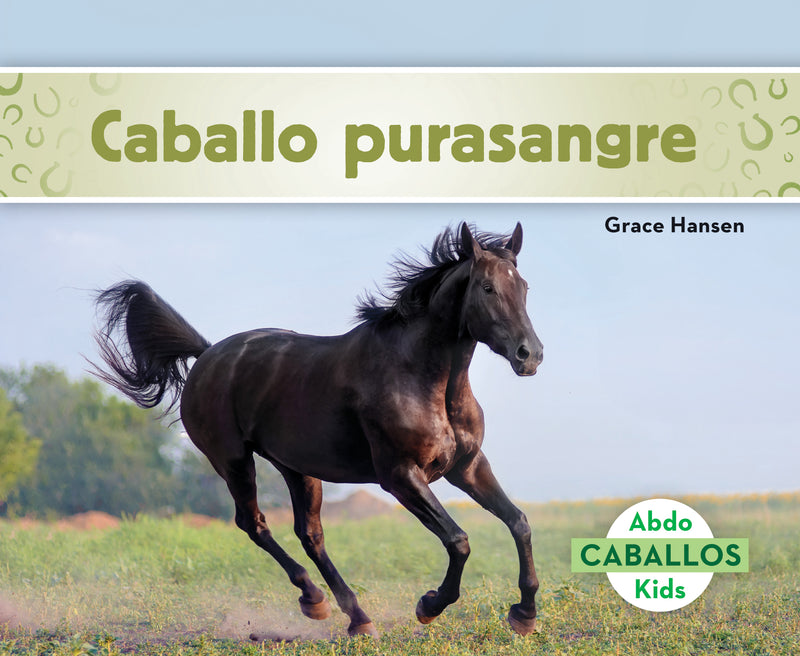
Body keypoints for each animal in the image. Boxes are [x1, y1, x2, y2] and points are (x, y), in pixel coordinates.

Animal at [92, 222, 544, 638]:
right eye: (487, 287)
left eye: (523, 286)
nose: (530, 355)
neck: (419, 376)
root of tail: (206, 355)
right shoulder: (400, 476)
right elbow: (458, 540)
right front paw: (429, 605)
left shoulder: (466, 467)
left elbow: (518, 522)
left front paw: (524, 614)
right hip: (233, 460)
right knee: (253, 523)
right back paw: (315, 599)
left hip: (297, 467)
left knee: (309, 534)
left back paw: (355, 617)